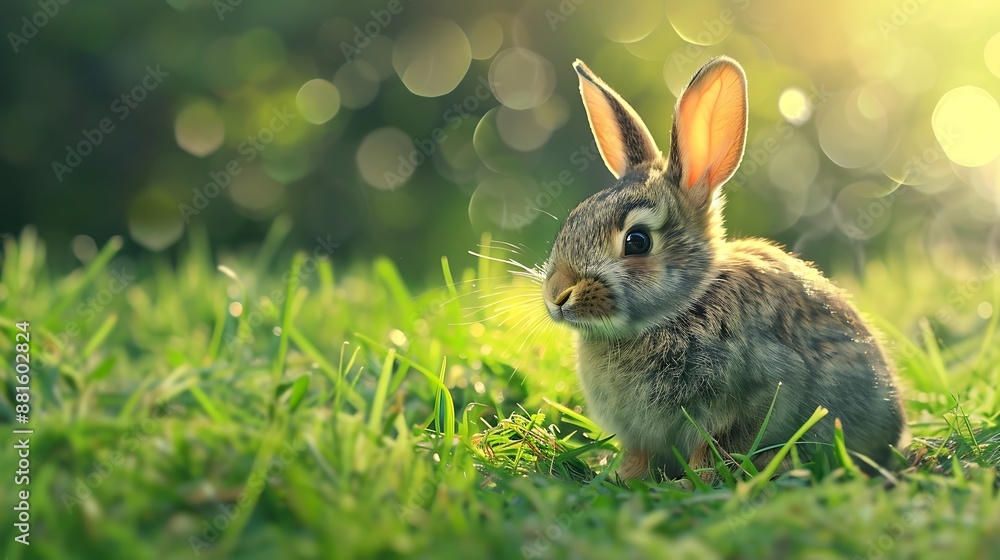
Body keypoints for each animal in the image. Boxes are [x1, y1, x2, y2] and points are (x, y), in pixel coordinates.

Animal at [541, 56, 908, 481]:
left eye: (637, 241)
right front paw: (622, 478)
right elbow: (640, 457)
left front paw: (696, 482)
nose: (557, 295)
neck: (679, 309)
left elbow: (712, 450)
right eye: (573, 220)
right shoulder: (641, 435)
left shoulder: (753, 399)